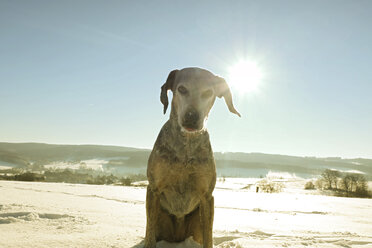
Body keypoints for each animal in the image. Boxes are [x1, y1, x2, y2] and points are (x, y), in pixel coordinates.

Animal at [144, 67, 240, 247]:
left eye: (208, 92)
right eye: (182, 89)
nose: (191, 117)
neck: (185, 149)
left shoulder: (207, 196)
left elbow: (209, 236)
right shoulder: (153, 189)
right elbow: (150, 234)